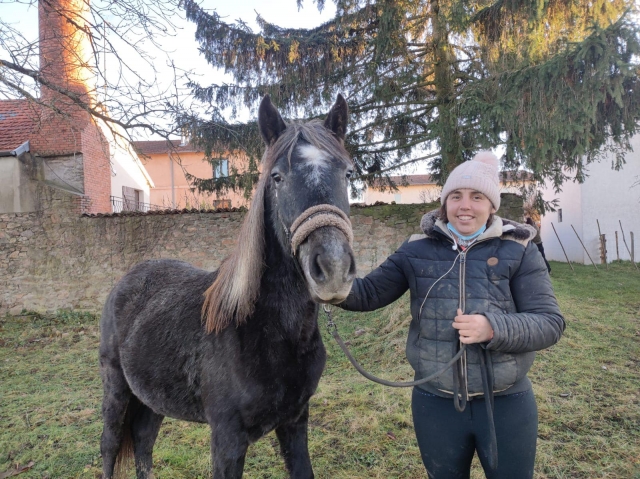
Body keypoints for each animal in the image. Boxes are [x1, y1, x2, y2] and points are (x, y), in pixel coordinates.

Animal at [99, 94, 356, 479]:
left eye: (348, 173)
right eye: (277, 177)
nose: (333, 267)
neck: (262, 327)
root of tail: (126, 282)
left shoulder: (295, 421)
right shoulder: (227, 438)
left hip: (151, 400)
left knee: (143, 443)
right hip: (116, 390)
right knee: (110, 448)